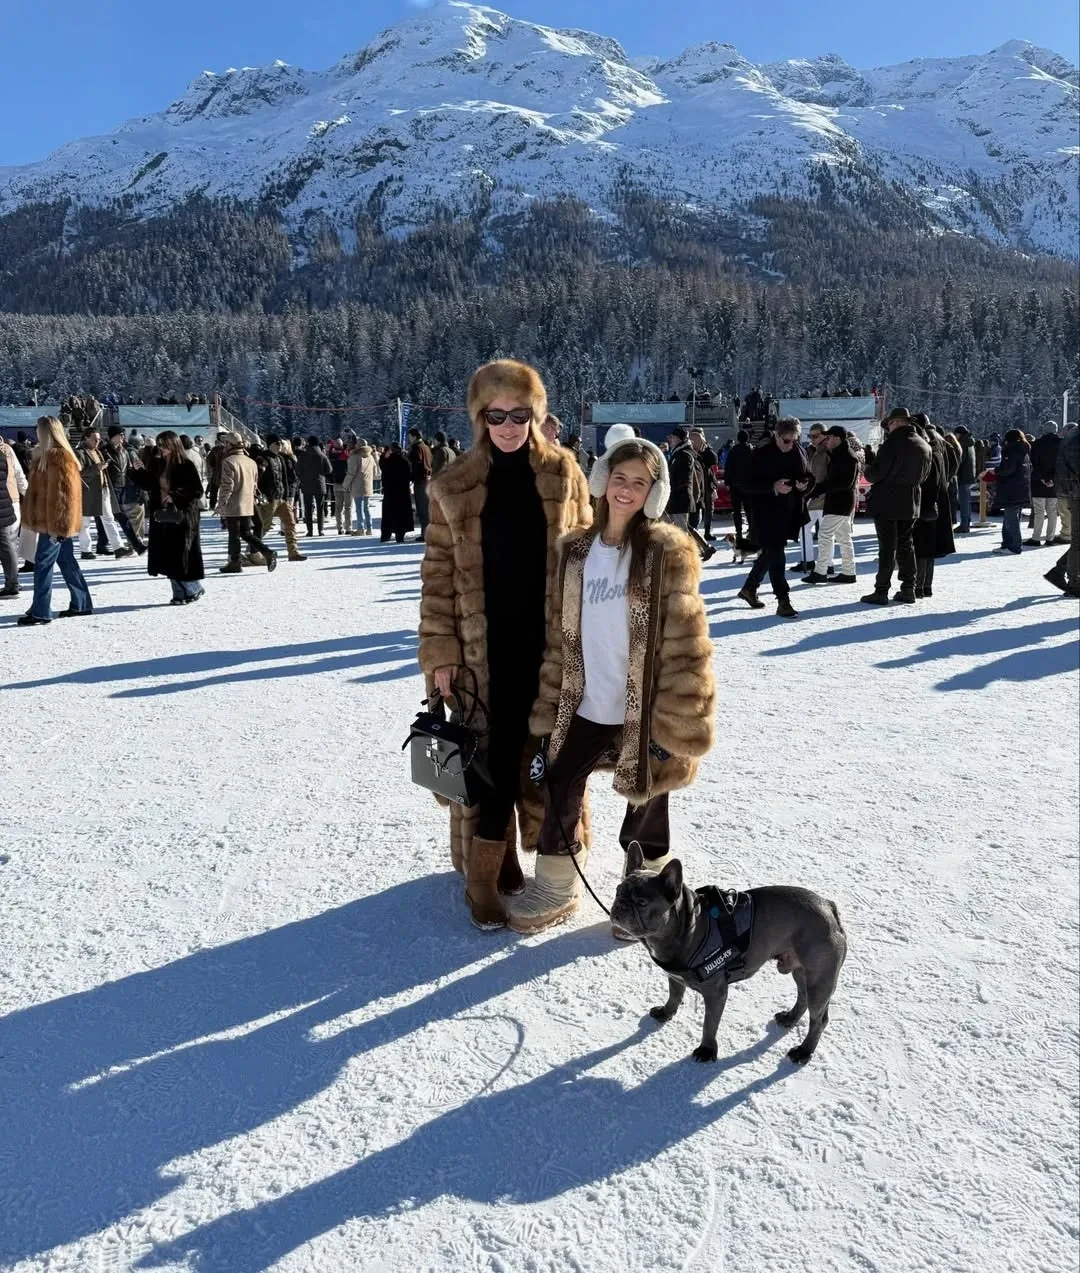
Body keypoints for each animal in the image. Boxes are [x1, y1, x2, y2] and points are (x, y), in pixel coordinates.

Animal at [610, 844, 846, 1064]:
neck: (689, 926)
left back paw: (803, 1051)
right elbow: (674, 995)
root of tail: (829, 907)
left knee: (818, 1019)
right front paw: (666, 1013)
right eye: (618, 890)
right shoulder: (675, 978)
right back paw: (790, 1018)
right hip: (801, 970)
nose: (620, 905)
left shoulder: (715, 993)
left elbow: (709, 1024)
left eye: (642, 903)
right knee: (802, 995)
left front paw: (706, 1050)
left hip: (819, 980)